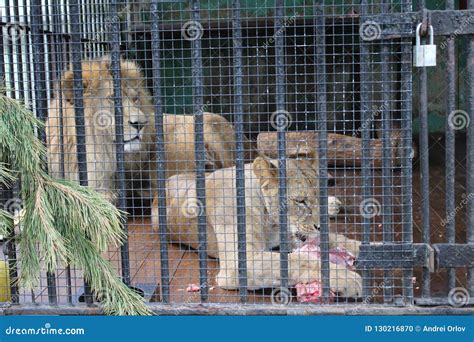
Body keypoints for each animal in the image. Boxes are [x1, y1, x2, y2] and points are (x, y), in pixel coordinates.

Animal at [154, 156, 362, 296]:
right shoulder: (238, 264)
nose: (322, 225)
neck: (272, 222)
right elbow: (298, 261)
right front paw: (349, 279)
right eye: (301, 201)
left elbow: (337, 239)